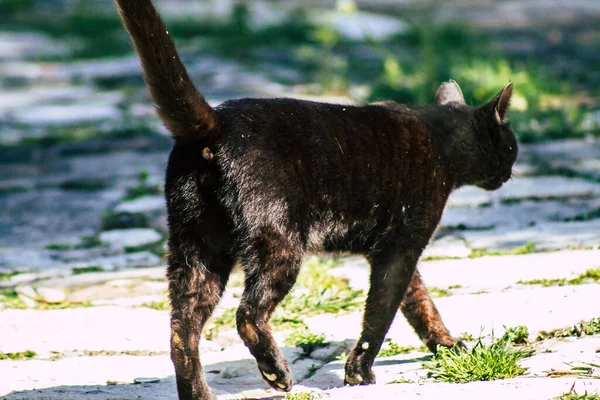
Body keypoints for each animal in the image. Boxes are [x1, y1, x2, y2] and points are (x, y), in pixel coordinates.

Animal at [115, 1, 516, 398]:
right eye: (512, 146)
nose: (512, 168)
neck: (440, 137)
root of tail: (216, 121)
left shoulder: (391, 249)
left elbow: (418, 302)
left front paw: (447, 346)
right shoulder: (401, 247)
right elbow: (381, 312)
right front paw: (359, 373)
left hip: (197, 251)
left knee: (181, 330)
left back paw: (199, 394)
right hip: (279, 246)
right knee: (247, 315)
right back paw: (277, 373)